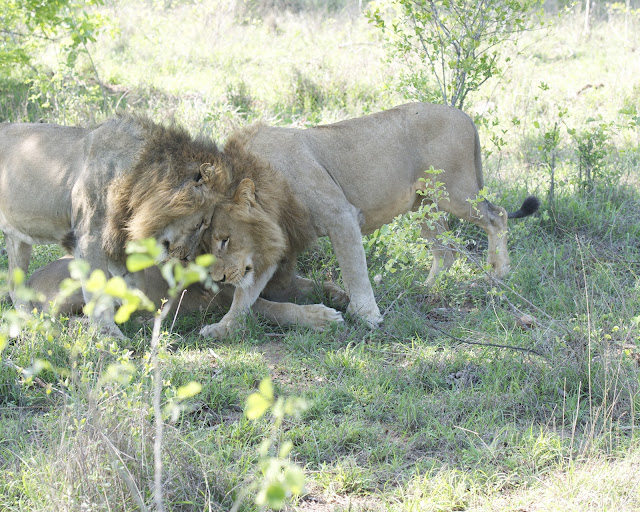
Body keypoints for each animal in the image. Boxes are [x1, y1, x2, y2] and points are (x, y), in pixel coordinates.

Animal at [0, 114, 230, 338]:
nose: (187, 258)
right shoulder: (89, 237)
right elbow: (97, 290)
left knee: (14, 286)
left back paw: (30, 323)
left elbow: (136, 286)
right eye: (201, 223)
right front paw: (110, 335)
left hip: (17, 239)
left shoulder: (116, 241)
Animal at [198, 102, 536, 338]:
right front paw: (223, 328)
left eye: (224, 240)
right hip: (423, 206)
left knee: (497, 216)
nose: (218, 279)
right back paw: (428, 286)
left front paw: (366, 315)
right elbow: (245, 295)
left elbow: (354, 270)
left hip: (456, 192)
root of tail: (464, 115)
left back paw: (498, 272)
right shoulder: (271, 243)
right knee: (446, 250)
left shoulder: (340, 215)